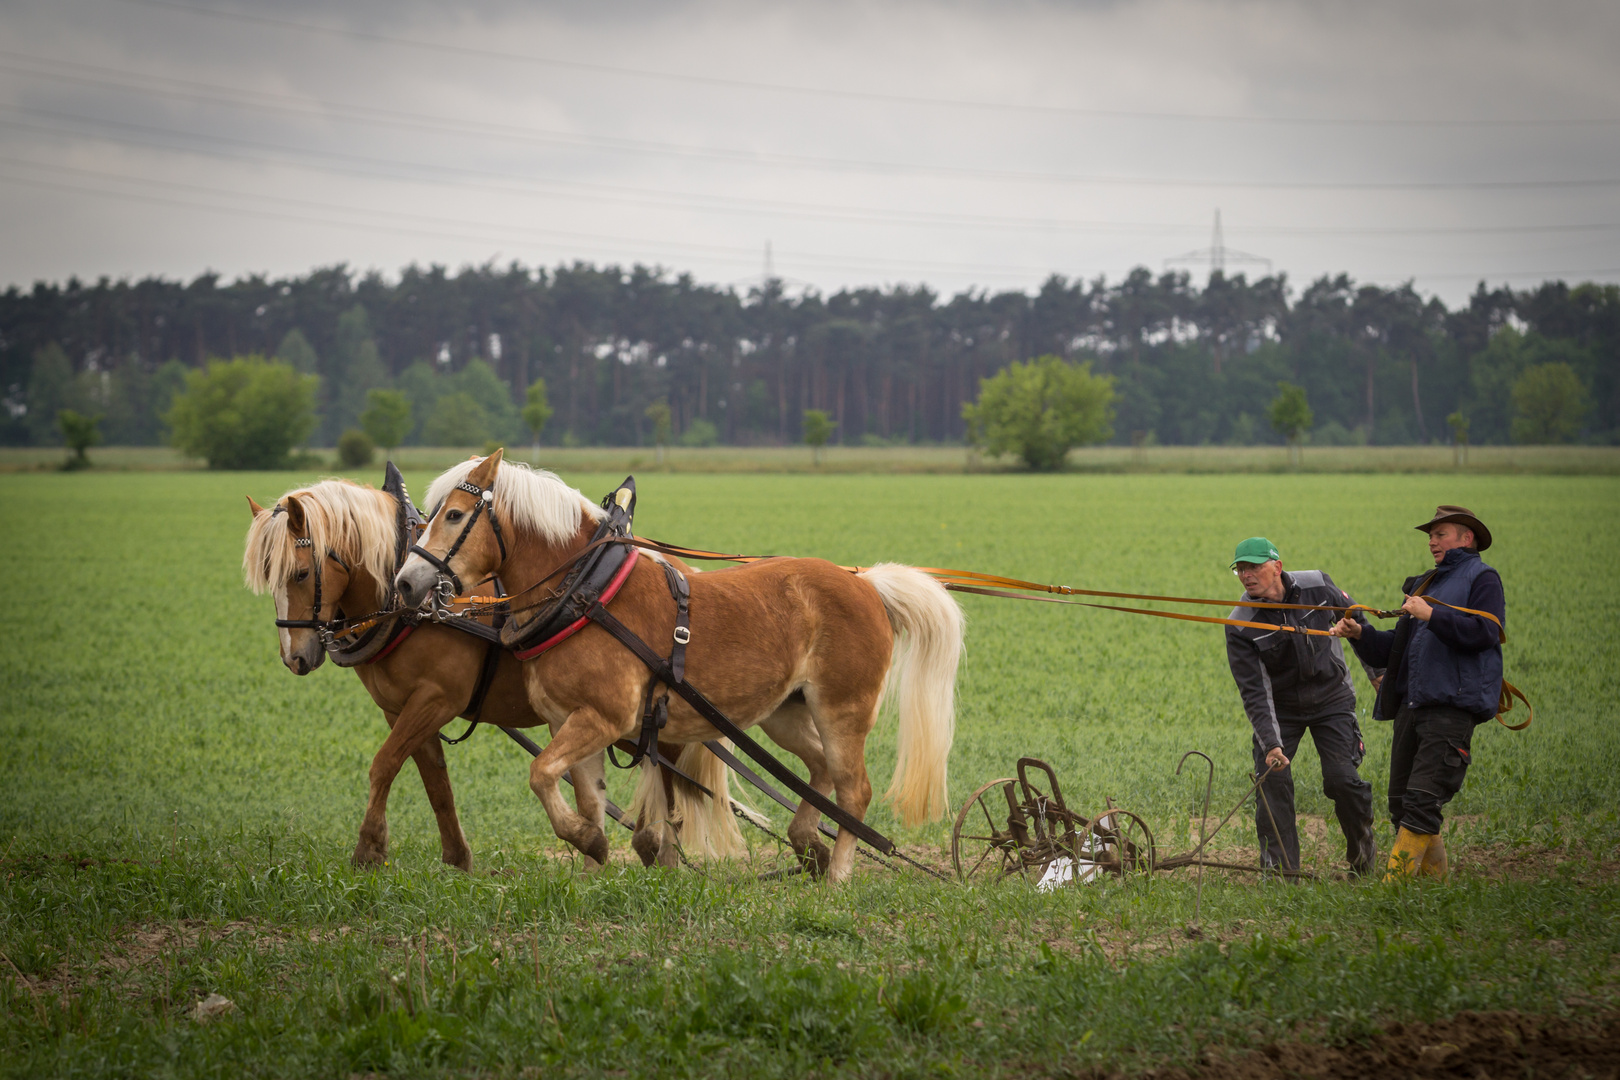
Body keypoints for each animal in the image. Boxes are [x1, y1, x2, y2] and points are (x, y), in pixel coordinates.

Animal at [241, 476, 745, 874]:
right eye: (267, 575)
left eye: (300, 573)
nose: (295, 657)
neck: (409, 605)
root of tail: (681, 571)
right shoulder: (400, 710)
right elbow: (435, 784)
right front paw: (457, 860)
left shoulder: (436, 699)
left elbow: (383, 764)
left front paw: (368, 850)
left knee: (674, 790)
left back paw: (659, 859)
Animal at [395, 453, 959, 880]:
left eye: (454, 515)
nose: (405, 581)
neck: (587, 592)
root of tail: (866, 583)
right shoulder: (567, 722)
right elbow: (586, 798)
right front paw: (593, 859)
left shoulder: (604, 718)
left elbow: (540, 774)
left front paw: (590, 844)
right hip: (786, 712)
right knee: (819, 769)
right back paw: (806, 843)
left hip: (842, 710)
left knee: (853, 790)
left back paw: (839, 875)